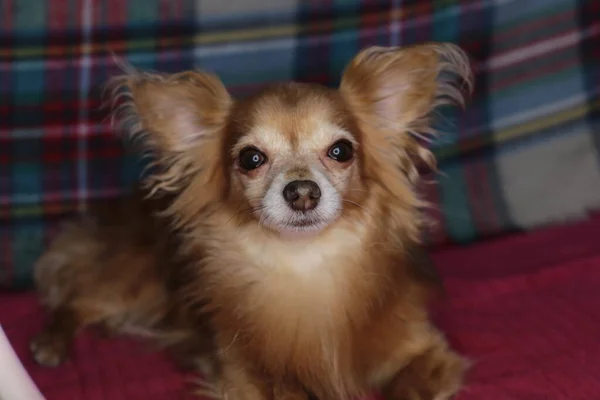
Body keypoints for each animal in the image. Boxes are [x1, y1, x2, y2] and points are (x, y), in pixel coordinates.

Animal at [30, 43, 474, 400]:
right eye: (251, 159)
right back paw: (51, 342)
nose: (302, 191)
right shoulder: (239, 375)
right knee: (76, 299)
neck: (305, 266)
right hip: (135, 282)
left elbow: (410, 384)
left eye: (341, 151)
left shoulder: (426, 350)